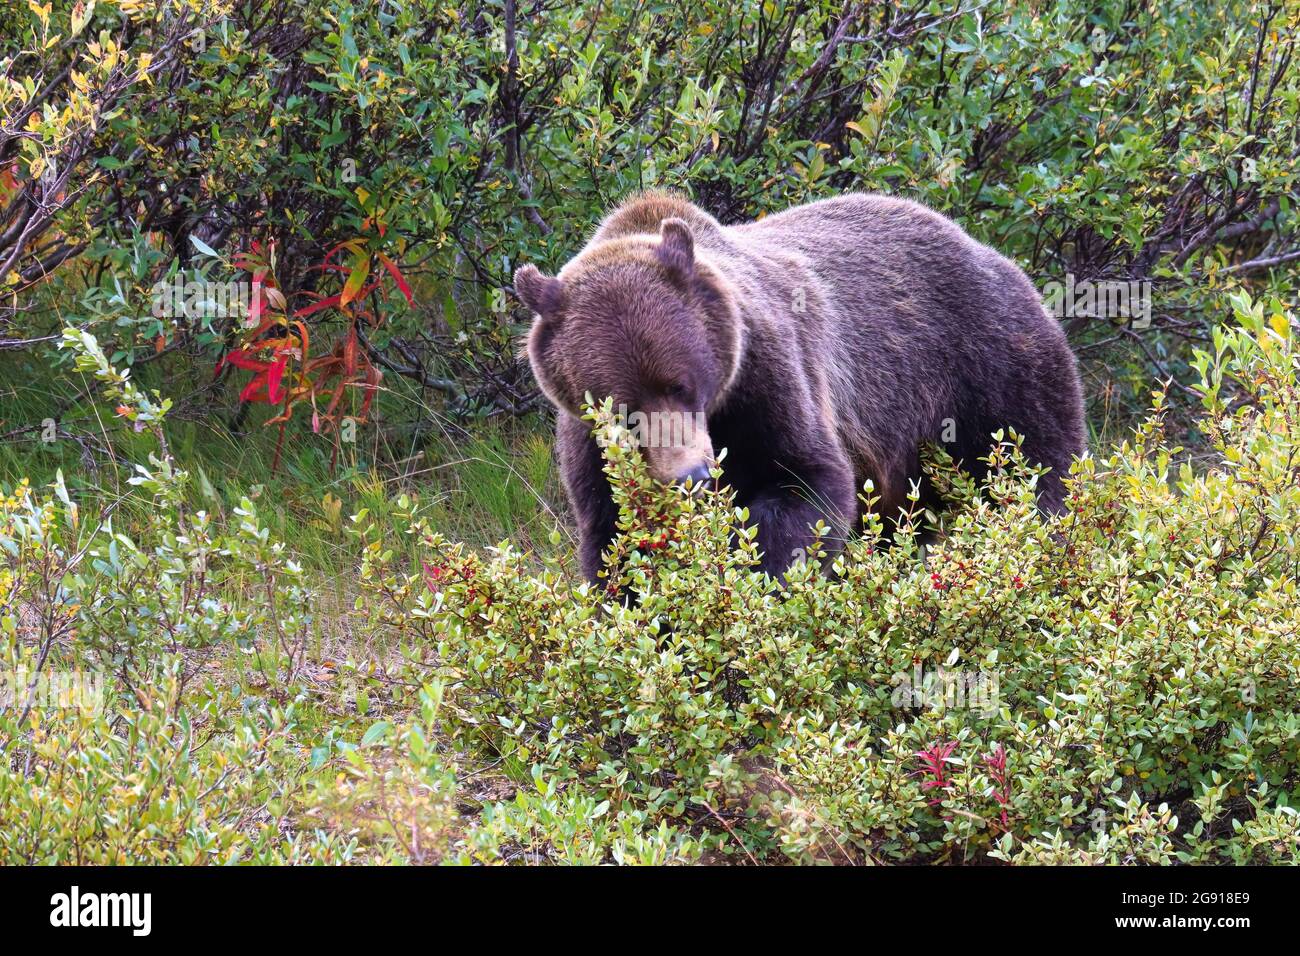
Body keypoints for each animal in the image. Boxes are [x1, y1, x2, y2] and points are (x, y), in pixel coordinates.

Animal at [514, 190, 1085, 582]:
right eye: (622, 409)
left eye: (683, 385)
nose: (691, 476)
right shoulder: (586, 441)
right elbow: (611, 535)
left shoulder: (769, 373)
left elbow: (805, 481)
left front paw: (760, 574)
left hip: (987, 365)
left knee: (1038, 461)